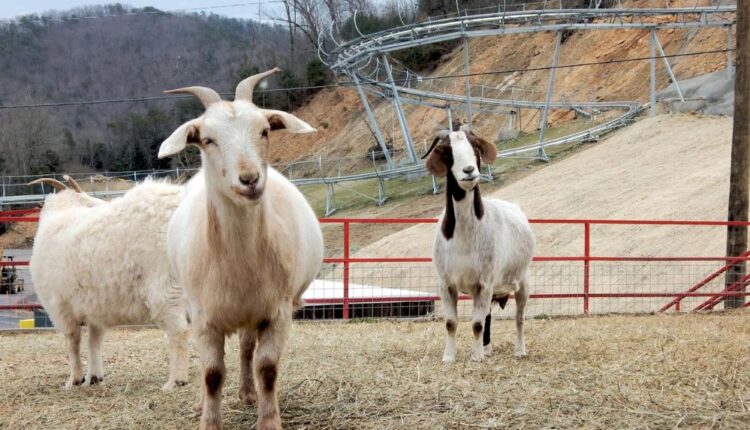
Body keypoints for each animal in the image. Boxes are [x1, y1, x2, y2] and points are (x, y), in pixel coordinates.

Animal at [31, 175, 191, 390]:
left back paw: (176, 381)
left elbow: (73, 342)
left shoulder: (61, 309)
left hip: (165, 288)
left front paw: (74, 380)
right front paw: (94, 377)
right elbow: (94, 342)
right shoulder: (94, 310)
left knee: (179, 332)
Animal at [157, 68, 324, 430]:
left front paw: (268, 420)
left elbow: (267, 369)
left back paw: (248, 393)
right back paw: (201, 402)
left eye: (265, 131)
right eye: (207, 139)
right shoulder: (204, 317)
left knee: (247, 350)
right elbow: (211, 374)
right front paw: (209, 420)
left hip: (253, 312)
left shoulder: (276, 311)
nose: (249, 179)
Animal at [424, 127, 536, 362]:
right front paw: (449, 357)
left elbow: (476, 323)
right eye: (447, 151)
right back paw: (488, 349)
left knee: (519, 318)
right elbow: (451, 323)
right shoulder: (446, 283)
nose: (468, 171)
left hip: (523, 280)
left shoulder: (483, 282)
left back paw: (520, 350)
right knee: (488, 317)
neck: (464, 237)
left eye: (475, 146)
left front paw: (476, 358)